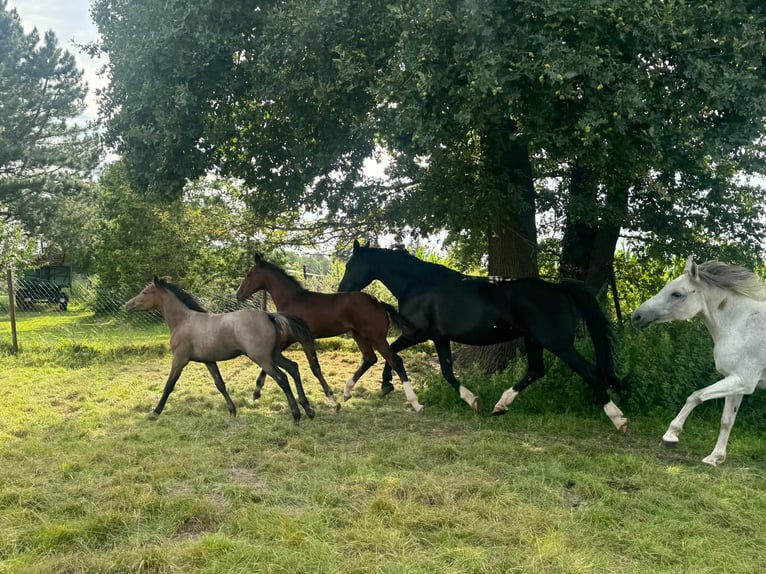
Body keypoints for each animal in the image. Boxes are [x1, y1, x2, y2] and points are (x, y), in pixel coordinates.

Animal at [127, 276, 316, 426]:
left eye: (145, 292)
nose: (127, 305)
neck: (183, 321)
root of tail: (269, 315)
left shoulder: (180, 359)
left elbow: (169, 385)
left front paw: (155, 411)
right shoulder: (209, 361)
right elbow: (220, 384)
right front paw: (232, 411)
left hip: (263, 358)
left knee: (282, 378)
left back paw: (297, 415)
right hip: (274, 355)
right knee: (293, 368)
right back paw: (309, 410)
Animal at [237, 254, 424, 412]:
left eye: (249, 274)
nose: (238, 295)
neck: (292, 299)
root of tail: (378, 302)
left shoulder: (303, 339)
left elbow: (314, 367)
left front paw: (333, 401)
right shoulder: (289, 340)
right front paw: (255, 394)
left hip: (376, 337)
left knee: (395, 360)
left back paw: (415, 403)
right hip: (359, 336)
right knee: (370, 358)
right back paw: (347, 391)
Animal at [340, 242, 628, 432]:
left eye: (351, 265)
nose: (341, 291)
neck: (418, 285)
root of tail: (561, 290)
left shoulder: (417, 334)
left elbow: (393, 352)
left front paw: (385, 385)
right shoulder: (440, 338)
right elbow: (447, 372)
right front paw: (473, 401)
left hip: (556, 342)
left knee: (589, 372)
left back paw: (618, 418)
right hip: (534, 340)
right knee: (536, 370)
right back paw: (500, 405)